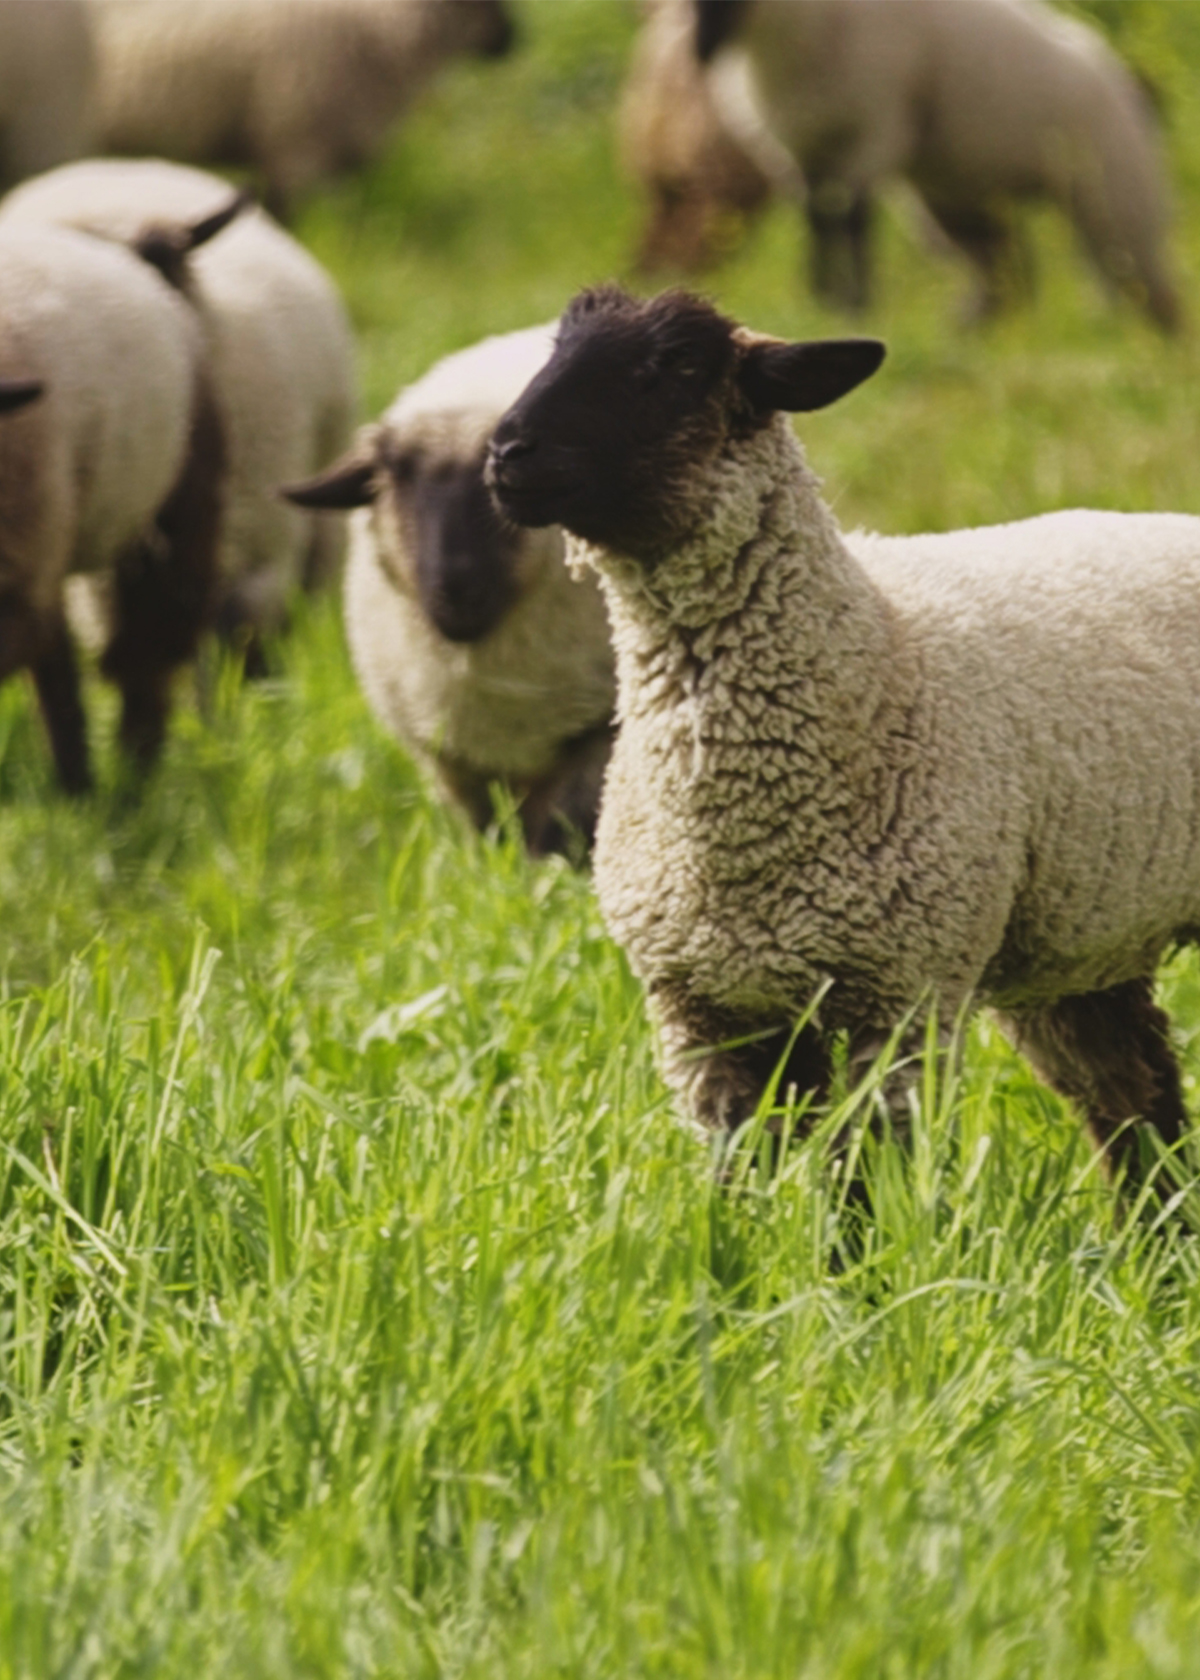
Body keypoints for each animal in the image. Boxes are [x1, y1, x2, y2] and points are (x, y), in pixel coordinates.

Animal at [282, 324, 617, 860]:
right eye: (396, 477)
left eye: (507, 478)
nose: (456, 590)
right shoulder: (454, 759)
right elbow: (489, 835)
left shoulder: (598, 731)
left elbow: (563, 827)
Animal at [488, 283, 1200, 1192]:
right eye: (555, 349)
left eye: (676, 367)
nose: (506, 451)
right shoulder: (710, 1005)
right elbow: (748, 1168)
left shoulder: (898, 989)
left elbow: (867, 1168)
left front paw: (869, 1237)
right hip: (1081, 936)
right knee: (1132, 1099)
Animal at [695, 0, 1180, 329]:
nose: (702, 54)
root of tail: (1132, 81)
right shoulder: (794, 149)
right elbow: (819, 222)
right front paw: (822, 301)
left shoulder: (877, 127)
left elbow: (852, 220)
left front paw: (854, 305)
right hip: (959, 197)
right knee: (1008, 274)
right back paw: (969, 332)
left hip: (1113, 196)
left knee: (1141, 285)